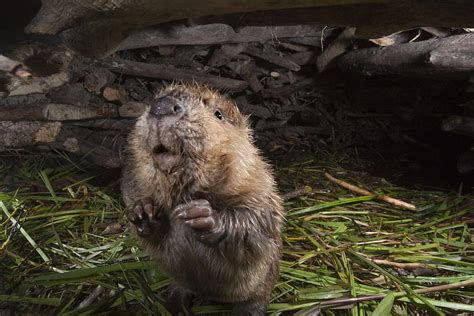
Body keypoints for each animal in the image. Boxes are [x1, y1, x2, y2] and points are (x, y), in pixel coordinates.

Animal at [122, 82, 284, 314]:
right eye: (156, 97)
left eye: (218, 114)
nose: (162, 106)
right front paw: (144, 212)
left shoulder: (261, 185)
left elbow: (257, 223)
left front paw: (201, 215)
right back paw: (175, 305)